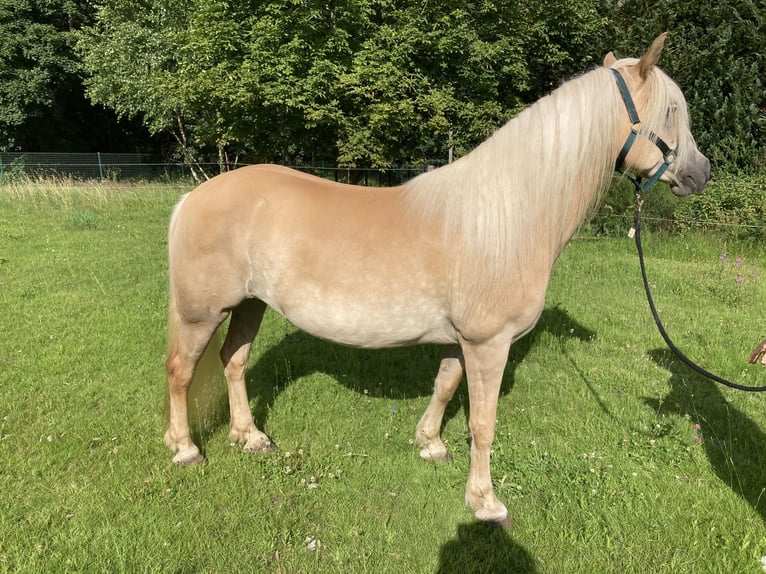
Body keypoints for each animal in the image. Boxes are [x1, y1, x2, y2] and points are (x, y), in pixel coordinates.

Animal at [165, 35, 712, 532]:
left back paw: (248, 436)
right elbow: (483, 423)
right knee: (180, 371)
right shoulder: (489, 343)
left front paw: (430, 443)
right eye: (669, 112)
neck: (507, 217)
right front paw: (485, 502)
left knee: (233, 361)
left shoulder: (461, 340)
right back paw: (185, 448)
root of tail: (194, 196)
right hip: (202, 313)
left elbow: (446, 386)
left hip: (249, 305)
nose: (701, 173)